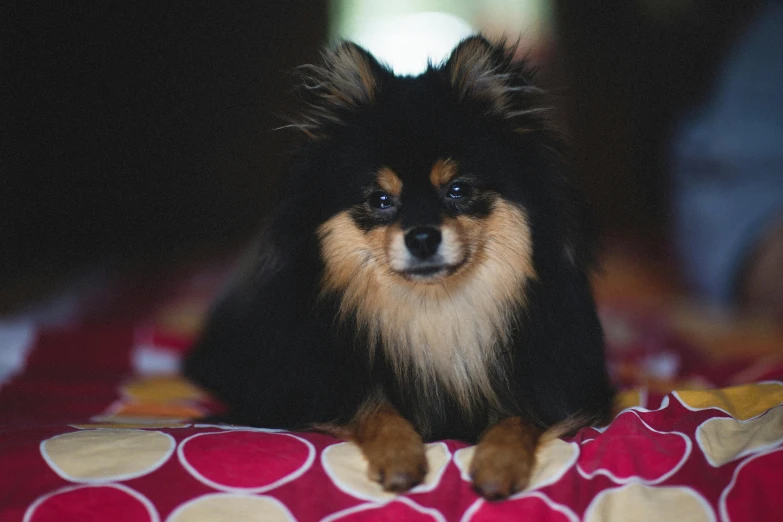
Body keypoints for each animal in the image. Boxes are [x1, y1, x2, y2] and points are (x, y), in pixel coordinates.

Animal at [182, 34, 612, 498]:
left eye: (458, 190)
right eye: (380, 199)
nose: (422, 237)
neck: (433, 313)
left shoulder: (560, 384)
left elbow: (519, 416)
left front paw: (498, 464)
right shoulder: (305, 390)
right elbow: (374, 408)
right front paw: (400, 457)